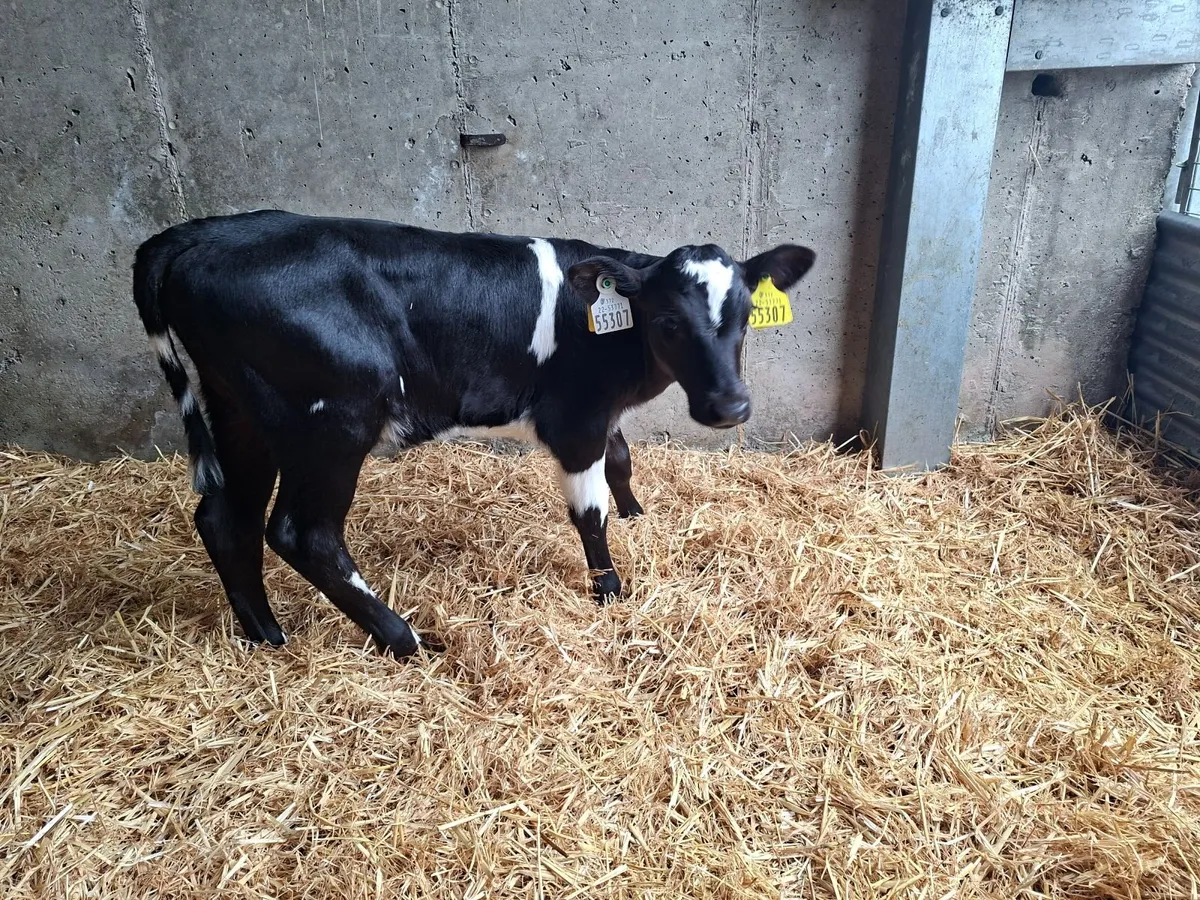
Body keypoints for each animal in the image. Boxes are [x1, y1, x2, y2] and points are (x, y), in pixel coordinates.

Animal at [132, 210, 815, 658]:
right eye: (669, 321)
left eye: (747, 316)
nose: (730, 406)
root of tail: (197, 233)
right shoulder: (574, 417)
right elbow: (589, 511)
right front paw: (610, 590)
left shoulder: (600, 416)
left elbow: (621, 461)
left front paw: (638, 518)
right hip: (332, 421)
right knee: (303, 533)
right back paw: (406, 638)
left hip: (239, 409)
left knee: (226, 517)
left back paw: (267, 636)